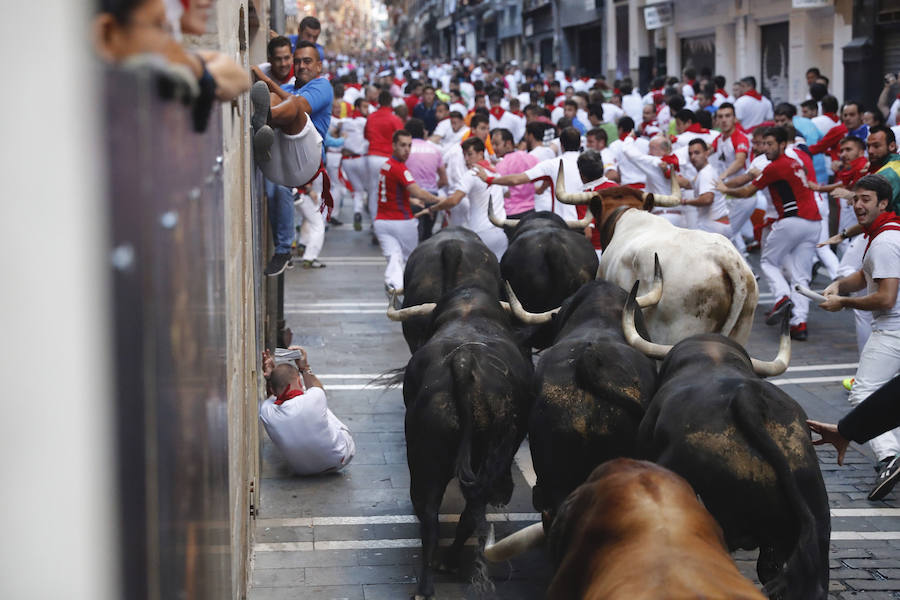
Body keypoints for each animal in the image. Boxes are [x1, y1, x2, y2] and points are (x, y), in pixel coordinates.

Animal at [384, 286, 528, 600]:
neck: (468, 311)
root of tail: (463, 363)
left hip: (425, 460)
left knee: (432, 517)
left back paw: (427, 584)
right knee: (460, 512)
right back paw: (447, 563)